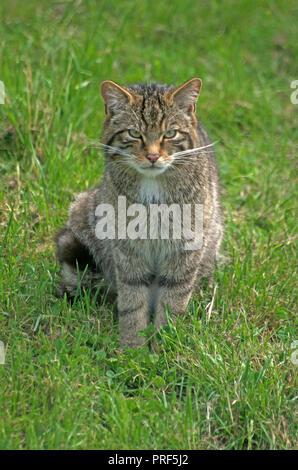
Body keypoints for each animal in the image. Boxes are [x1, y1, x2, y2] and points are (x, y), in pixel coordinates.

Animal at [56, 78, 224, 348]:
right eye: (134, 133)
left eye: (170, 133)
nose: (153, 155)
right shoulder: (127, 248)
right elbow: (133, 300)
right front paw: (131, 346)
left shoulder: (185, 248)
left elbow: (173, 301)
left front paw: (163, 345)